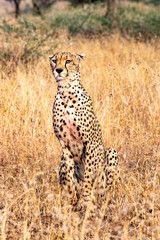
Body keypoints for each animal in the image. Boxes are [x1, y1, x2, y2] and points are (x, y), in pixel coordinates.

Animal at [49, 52, 119, 208]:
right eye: (54, 61)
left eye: (68, 61)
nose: (58, 70)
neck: (66, 91)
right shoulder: (64, 145)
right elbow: (69, 176)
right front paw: (71, 201)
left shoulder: (90, 143)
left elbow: (88, 175)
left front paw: (85, 200)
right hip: (61, 161)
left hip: (110, 153)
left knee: (108, 189)